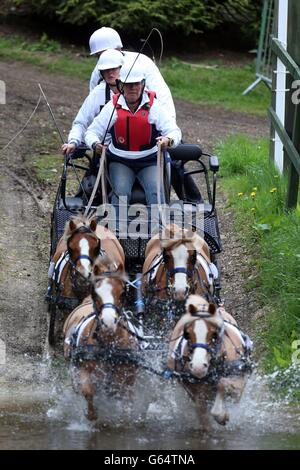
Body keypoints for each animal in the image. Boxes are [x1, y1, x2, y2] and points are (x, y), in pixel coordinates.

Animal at [63, 255, 139, 420]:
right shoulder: (84, 370)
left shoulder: (128, 379)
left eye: (122, 293)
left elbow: (127, 402)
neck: (110, 346)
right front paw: (91, 415)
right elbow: (88, 392)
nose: (108, 321)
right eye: (95, 294)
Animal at [165, 296, 252, 428]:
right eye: (187, 334)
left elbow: (223, 384)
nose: (198, 367)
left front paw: (221, 414)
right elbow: (206, 423)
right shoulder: (198, 398)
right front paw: (221, 415)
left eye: (214, 334)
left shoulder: (239, 380)